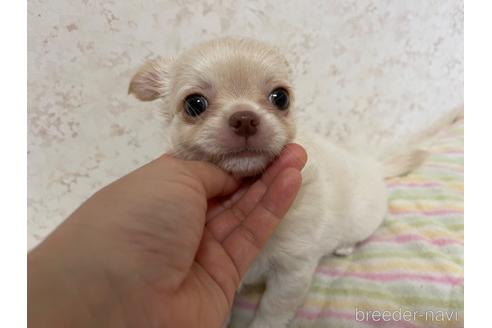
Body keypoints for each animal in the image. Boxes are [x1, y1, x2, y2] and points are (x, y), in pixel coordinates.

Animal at [129, 37, 424, 326]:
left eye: (281, 98)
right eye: (194, 104)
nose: (244, 118)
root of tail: (373, 165)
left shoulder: (293, 271)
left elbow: (272, 310)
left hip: (361, 220)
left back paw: (344, 246)